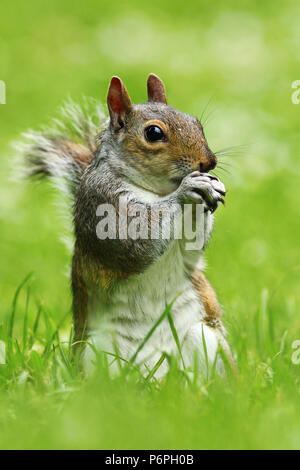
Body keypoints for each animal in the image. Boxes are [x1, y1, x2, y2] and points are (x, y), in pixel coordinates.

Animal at [22, 74, 236, 378]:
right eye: (154, 133)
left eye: (197, 123)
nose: (209, 162)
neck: (156, 191)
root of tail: (157, 377)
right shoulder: (102, 203)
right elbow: (135, 241)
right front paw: (189, 187)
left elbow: (192, 247)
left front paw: (211, 187)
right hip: (96, 352)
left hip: (204, 339)